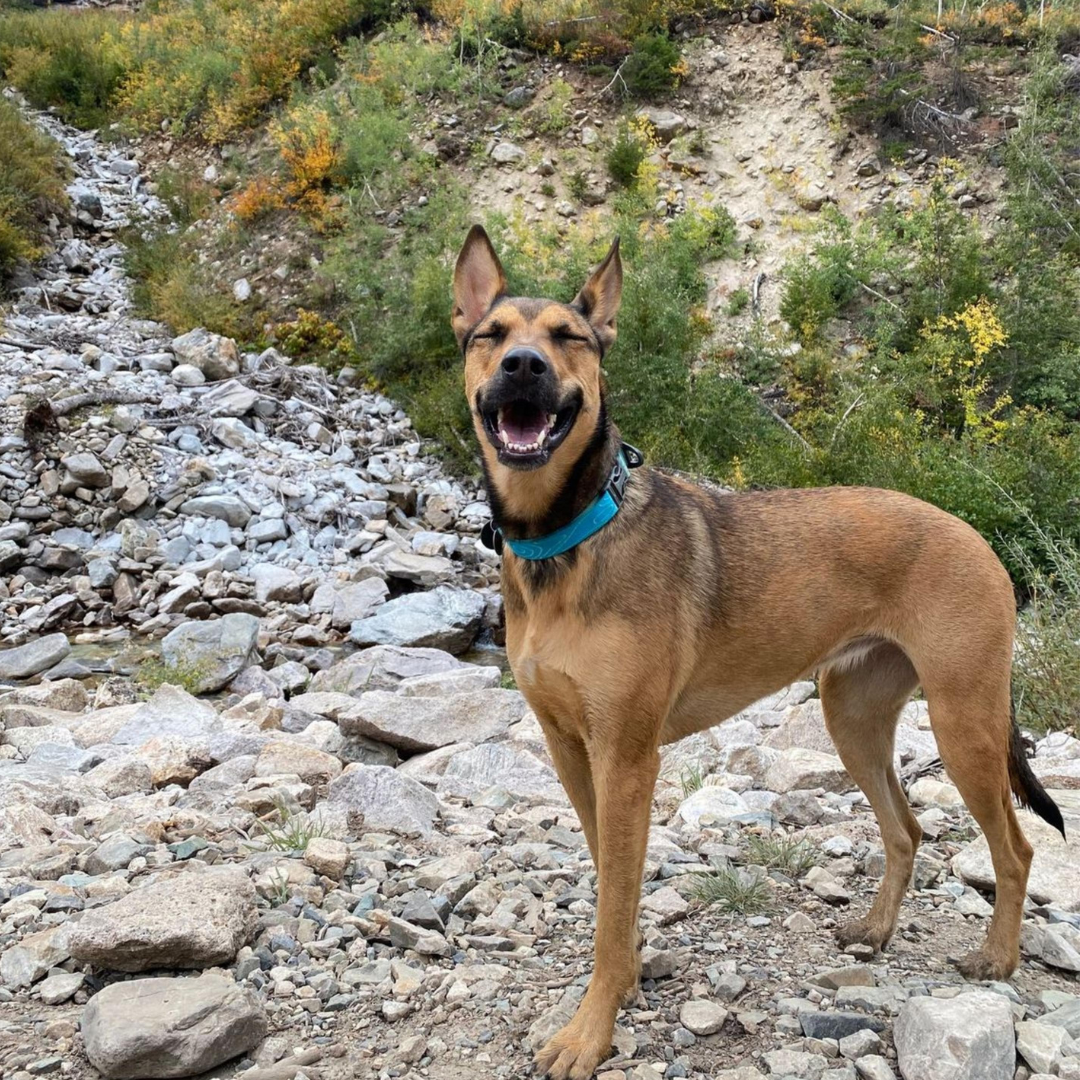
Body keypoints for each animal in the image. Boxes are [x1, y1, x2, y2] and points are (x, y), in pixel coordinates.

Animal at [449, 225, 1062, 1080]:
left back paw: (996, 957)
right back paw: (875, 930)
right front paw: (629, 978)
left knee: (1015, 846)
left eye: (569, 338)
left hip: (964, 722)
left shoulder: (626, 758)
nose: (524, 367)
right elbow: (610, 882)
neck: (568, 537)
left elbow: (613, 901)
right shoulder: (572, 751)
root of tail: (976, 535)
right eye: (492, 335)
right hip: (853, 718)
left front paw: (590, 1032)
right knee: (906, 830)